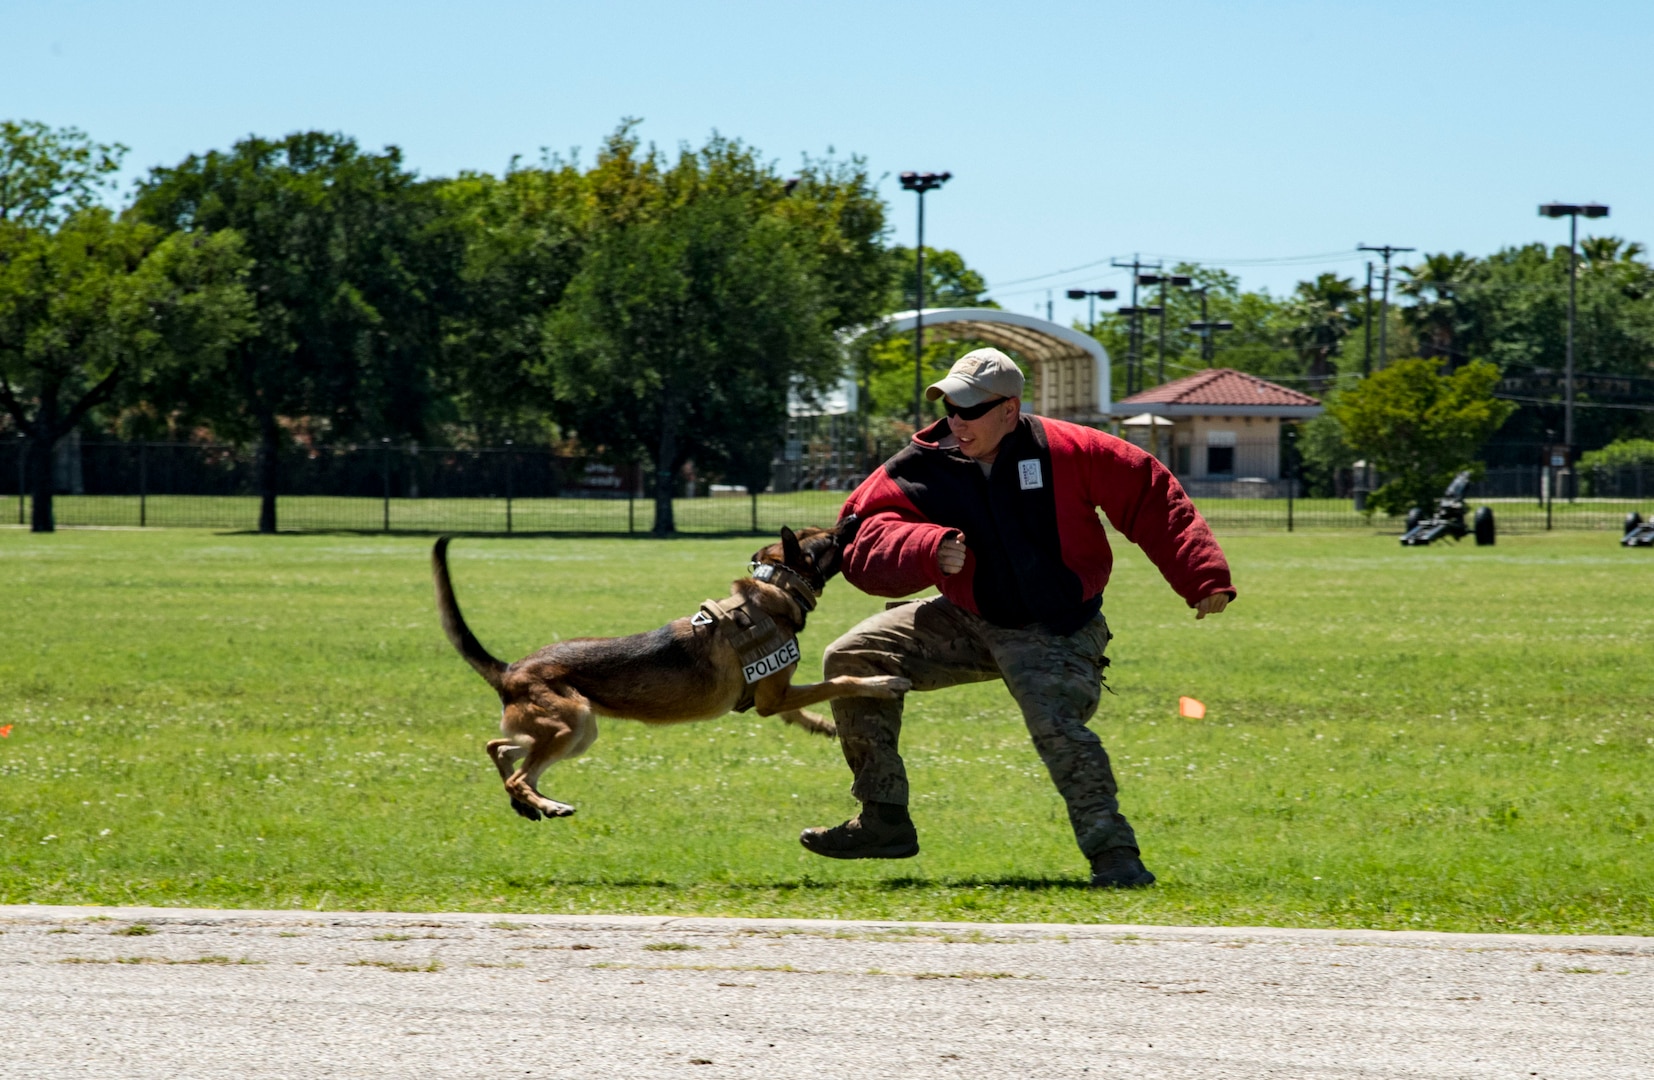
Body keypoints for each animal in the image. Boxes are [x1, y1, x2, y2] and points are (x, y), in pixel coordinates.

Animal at [430, 519, 906, 817]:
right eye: (829, 540)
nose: (854, 517)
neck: (774, 590)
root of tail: (509, 671)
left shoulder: (776, 699)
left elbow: (806, 708)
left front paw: (823, 726)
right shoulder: (776, 696)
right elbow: (840, 680)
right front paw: (882, 682)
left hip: (573, 731)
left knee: (499, 748)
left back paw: (532, 803)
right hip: (573, 723)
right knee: (516, 774)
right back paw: (547, 804)